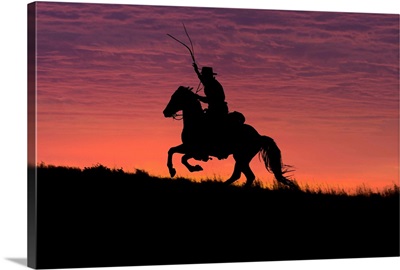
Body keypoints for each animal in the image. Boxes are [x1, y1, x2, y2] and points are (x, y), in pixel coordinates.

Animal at [161, 86, 296, 188]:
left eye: (176, 97)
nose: (165, 112)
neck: (196, 121)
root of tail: (259, 136)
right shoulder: (188, 147)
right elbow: (171, 150)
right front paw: (172, 171)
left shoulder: (196, 150)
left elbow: (183, 158)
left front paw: (195, 168)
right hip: (241, 158)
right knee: (248, 176)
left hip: (241, 157)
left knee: (241, 175)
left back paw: (222, 185)